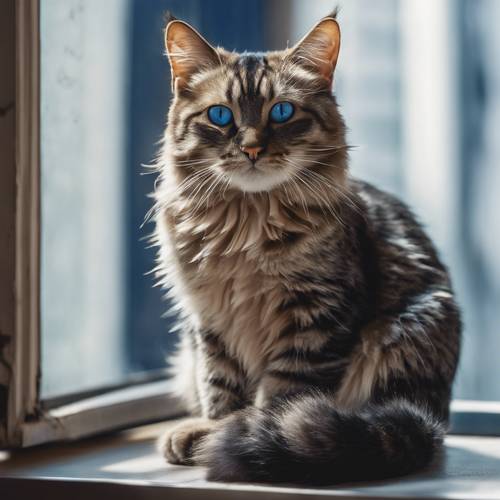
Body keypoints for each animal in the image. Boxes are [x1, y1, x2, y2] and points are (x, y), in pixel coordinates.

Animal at [152, 10, 460, 484]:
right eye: (220, 116)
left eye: (282, 111)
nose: (252, 148)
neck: (246, 227)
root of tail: (433, 420)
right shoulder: (210, 320)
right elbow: (219, 384)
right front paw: (212, 428)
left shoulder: (314, 319)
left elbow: (283, 399)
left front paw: (239, 436)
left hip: (401, 336)